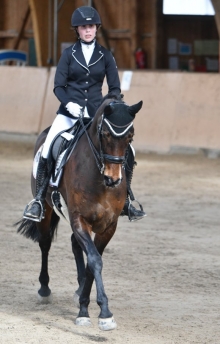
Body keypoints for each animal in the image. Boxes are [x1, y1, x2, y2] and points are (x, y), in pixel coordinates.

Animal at [15, 97, 143, 330]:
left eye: (130, 136)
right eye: (105, 134)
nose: (113, 179)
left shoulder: (108, 226)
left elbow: (93, 261)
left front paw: (86, 305)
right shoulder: (79, 219)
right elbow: (94, 260)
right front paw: (103, 313)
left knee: (75, 244)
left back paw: (79, 288)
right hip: (47, 209)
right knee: (45, 243)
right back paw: (44, 290)